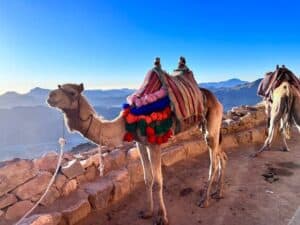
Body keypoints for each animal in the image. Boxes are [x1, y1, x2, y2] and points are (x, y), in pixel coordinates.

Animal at [47, 78, 226, 225]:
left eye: (72, 92)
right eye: (59, 86)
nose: (49, 96)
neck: (124, 125)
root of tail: (215, 99)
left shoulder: (154, 145)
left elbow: (158, 182)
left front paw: (162, 217)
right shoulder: (141, 144)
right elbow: (147, 179)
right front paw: (148, 212)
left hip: (212, 123)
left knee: (213, 161)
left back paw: (204, 200)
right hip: (205, 127)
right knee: (222, 156)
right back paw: (218, 192)